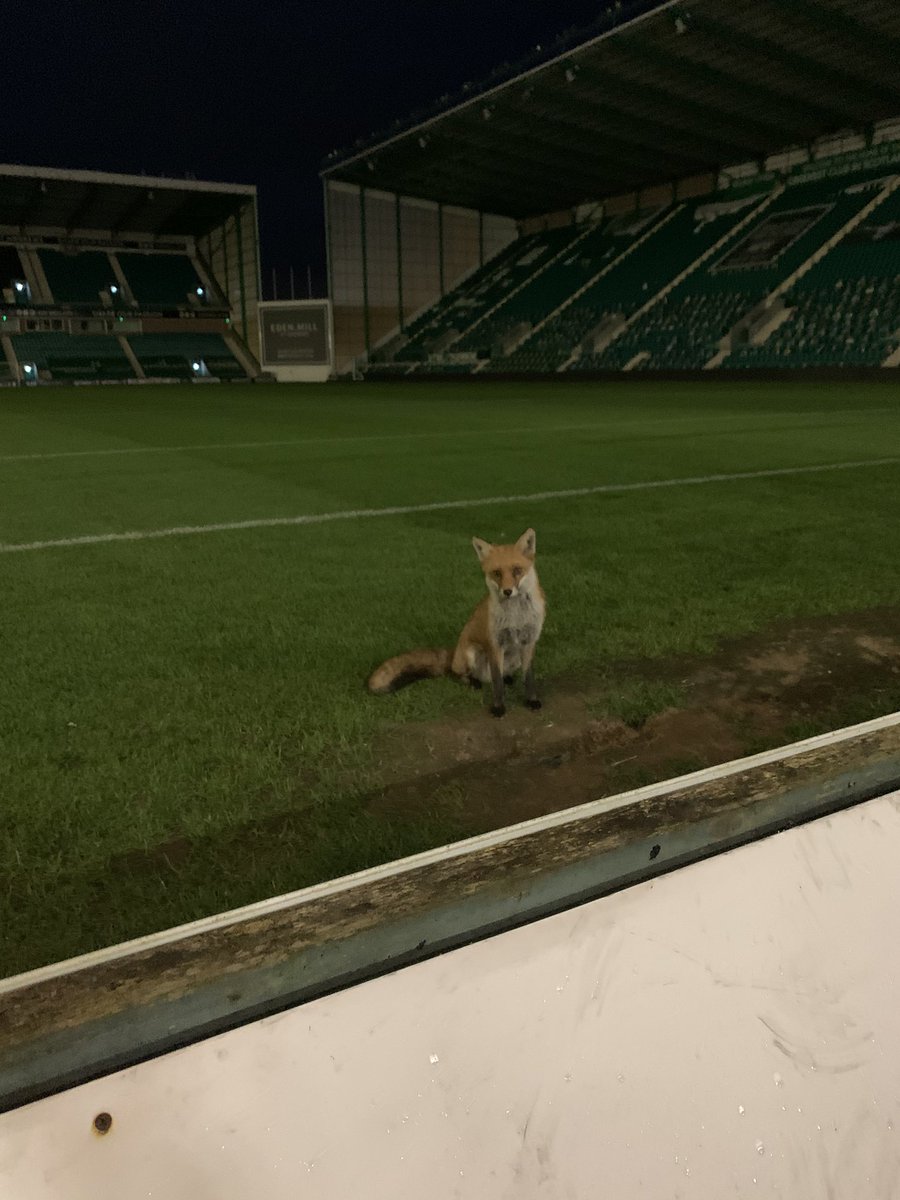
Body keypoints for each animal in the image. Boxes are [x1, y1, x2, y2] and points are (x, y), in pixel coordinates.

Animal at [367, 528, 545, 717]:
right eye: (497, 573)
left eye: (517, 570)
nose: (507, 591)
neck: (516, 616)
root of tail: (454, 652)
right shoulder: (495, 644)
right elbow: (497, 683)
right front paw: (498, 708)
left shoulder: (529, 641)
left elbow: (528, 678)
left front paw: (531, 700)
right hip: (471, 653)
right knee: (460, 674)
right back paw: (473, 682)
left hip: (515, 656)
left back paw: (508, 678)